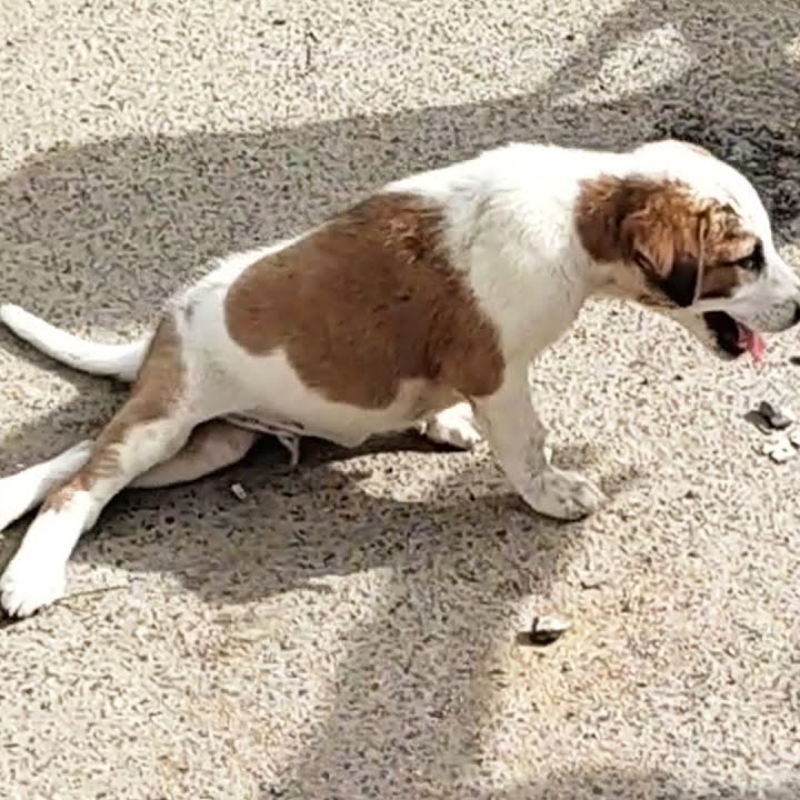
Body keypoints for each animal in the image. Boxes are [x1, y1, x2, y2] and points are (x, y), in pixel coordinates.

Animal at [1, 138, 800, 616]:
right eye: (747, 258)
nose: (798, 306)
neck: (578, 214)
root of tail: (162, 328)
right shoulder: (498, 375)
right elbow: (529, 447)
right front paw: (553, 494)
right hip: (167, 423)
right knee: (79, 487)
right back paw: (32, 575)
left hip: (207, 444)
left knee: (79, 463)